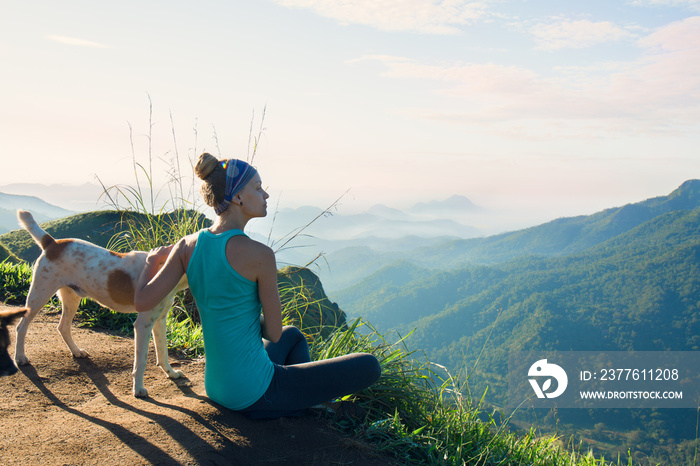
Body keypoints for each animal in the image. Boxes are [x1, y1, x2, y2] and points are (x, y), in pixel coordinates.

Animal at [15, 211, 189, 396]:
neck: (166, 267)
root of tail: (52, 242)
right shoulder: (143, 324)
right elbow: (141, 360)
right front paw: (138, 389)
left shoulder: (159, 320)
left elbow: (163, 352)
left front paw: (171, 373)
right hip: (39, 295)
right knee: (21, 327)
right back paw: (20, 357)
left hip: (71, 298)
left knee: (62, 327)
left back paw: (76, 351)